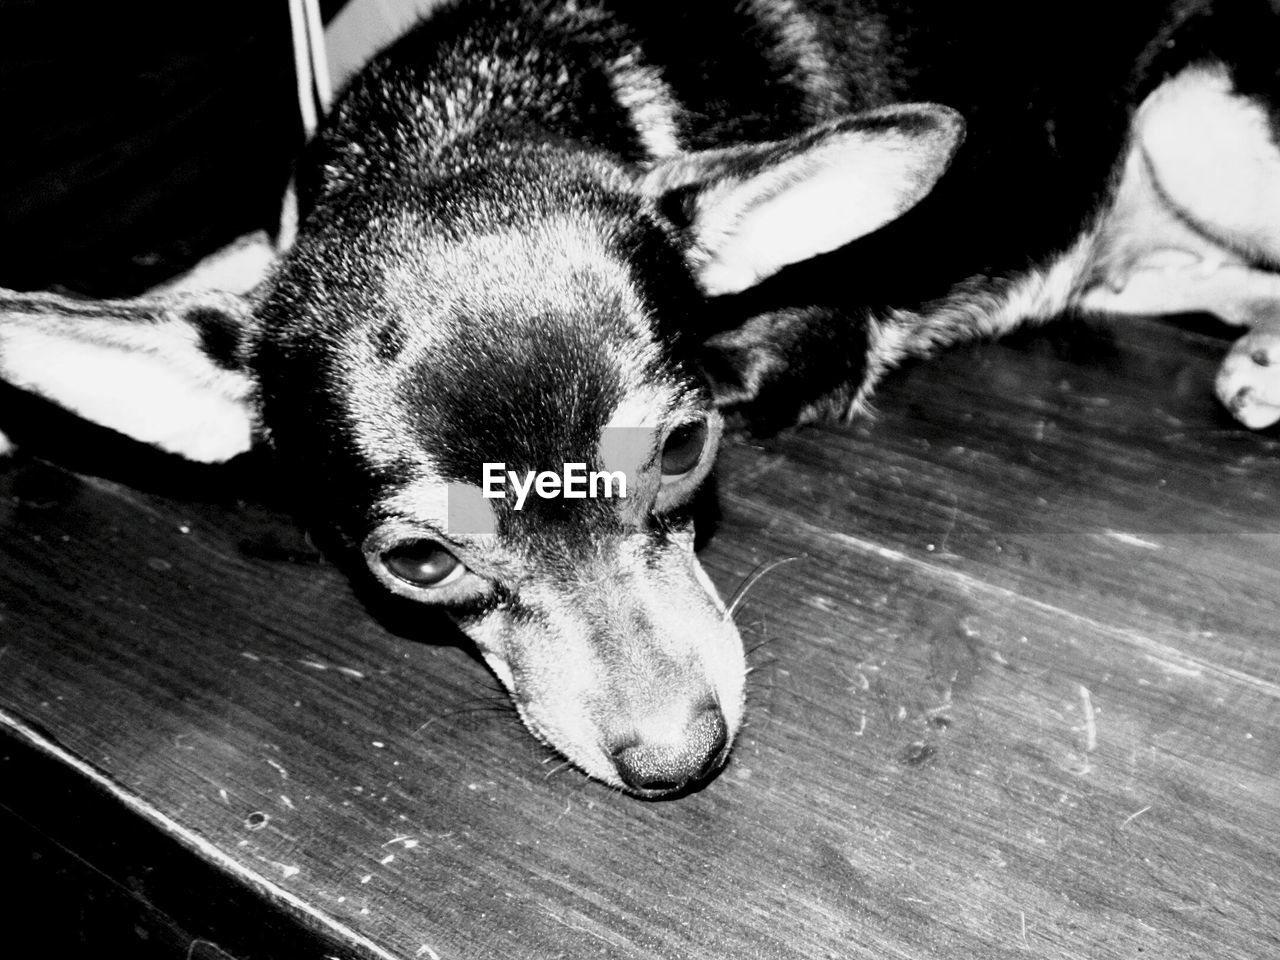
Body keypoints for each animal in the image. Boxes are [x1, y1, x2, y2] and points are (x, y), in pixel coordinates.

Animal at [2, 0, 1280, 798]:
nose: (678, 759)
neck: (464, 117)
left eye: (683, 449)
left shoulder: (811, 339)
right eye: (418, 563)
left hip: (1192, 121)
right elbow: (219, 267)